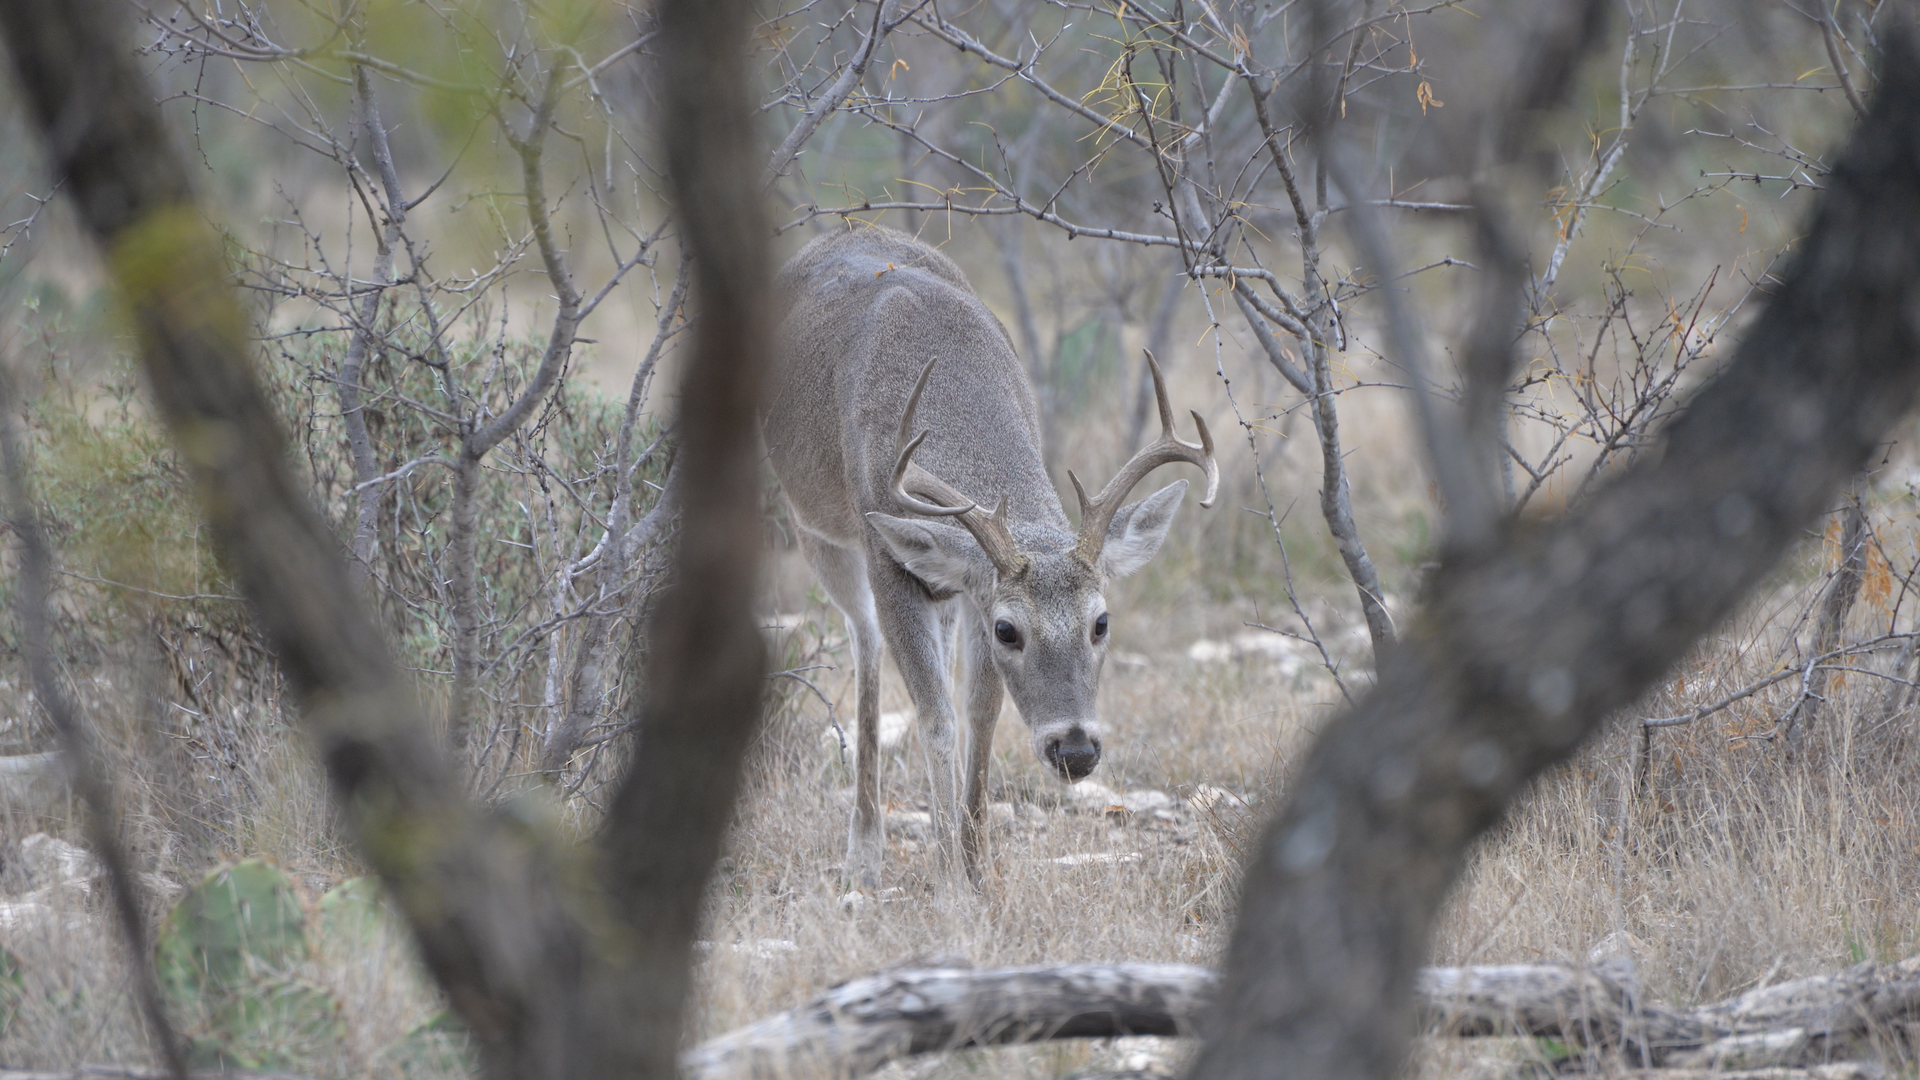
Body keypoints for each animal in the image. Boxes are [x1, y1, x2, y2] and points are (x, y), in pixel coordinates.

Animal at [764, 224, 1213, 883]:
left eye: (1102, 622)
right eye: (1009, 630)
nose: (1074, 750)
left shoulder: (971, 584)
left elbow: (980, 712)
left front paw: (977, 867)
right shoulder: (888, 557)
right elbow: (936, 717)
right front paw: (950, 874)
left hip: (943, 585)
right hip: (817, 529)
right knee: (864, 641)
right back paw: (865, 851)